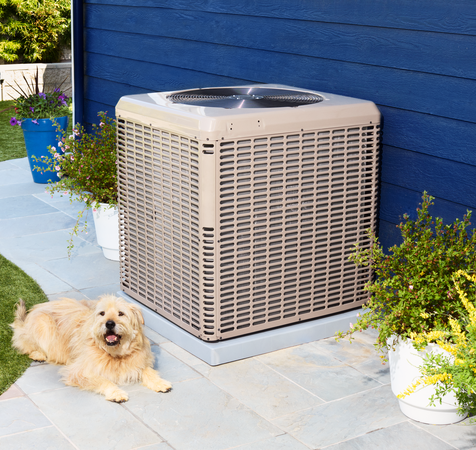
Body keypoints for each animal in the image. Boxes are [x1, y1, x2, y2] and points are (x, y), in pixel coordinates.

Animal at [10, 294, 173, 402]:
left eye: (121, 313)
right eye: (102, 313)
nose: (109, 323)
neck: (114, 354)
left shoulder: (138, 361)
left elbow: (148, 370)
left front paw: (159, 382)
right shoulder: (78, 372)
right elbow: (102, 380)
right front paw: (116, 393)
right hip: (44, 325)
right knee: (25, 343)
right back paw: (37, 354)